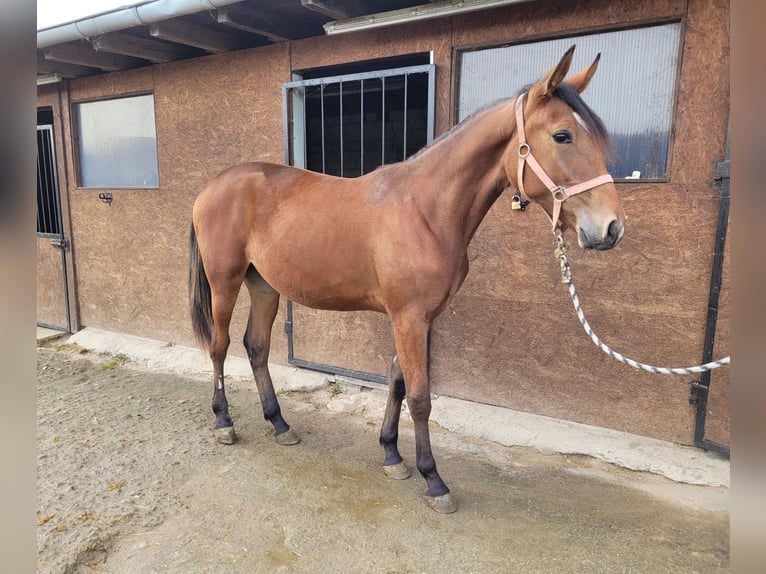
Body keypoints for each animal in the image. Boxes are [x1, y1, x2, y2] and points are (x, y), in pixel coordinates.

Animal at [189, 47, 628, 516]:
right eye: (563, 136)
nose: (611, 228)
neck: (425, 210)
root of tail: (213, 186)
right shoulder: (409, 317)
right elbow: (419, 397)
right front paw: (433, 480)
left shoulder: (418, 318)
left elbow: (398, 381)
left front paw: (392, 456)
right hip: (225, 282)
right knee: (220, 347)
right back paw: (223, 421)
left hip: (264, 286)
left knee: (256, 347)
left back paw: (279, 423)